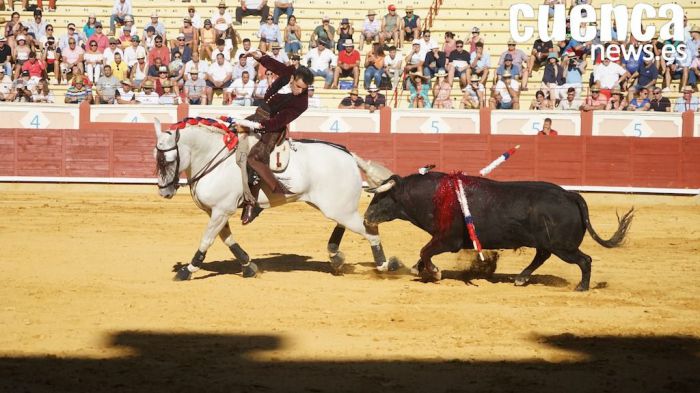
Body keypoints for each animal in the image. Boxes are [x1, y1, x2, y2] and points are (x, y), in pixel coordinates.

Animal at [154, 118, 394, 278]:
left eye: (167, 160)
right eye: (155, 158)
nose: (164, 192)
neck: (214, 158)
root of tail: (349, 156)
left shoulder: (221, 210)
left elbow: (207, 239)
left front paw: (187, 270)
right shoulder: (216, 212)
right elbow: (227, 239)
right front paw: (248, 266)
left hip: (340, 208)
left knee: (370, 231)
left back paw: (386, 265)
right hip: (337, 207)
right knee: (348, 225)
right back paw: (336, 255)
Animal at [366, 172, 636, 290]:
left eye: (381, 197)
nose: (367, 218)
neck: (436, 196)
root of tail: (570, 194)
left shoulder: (448, 240)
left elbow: (425, 251)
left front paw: (435, 272)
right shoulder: (440, 238)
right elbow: (423, 253)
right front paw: (420, 270)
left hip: (564, 247)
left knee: (584, 260)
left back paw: (581, 287)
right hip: (549, 244)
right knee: (542, 256)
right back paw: (521, 278)